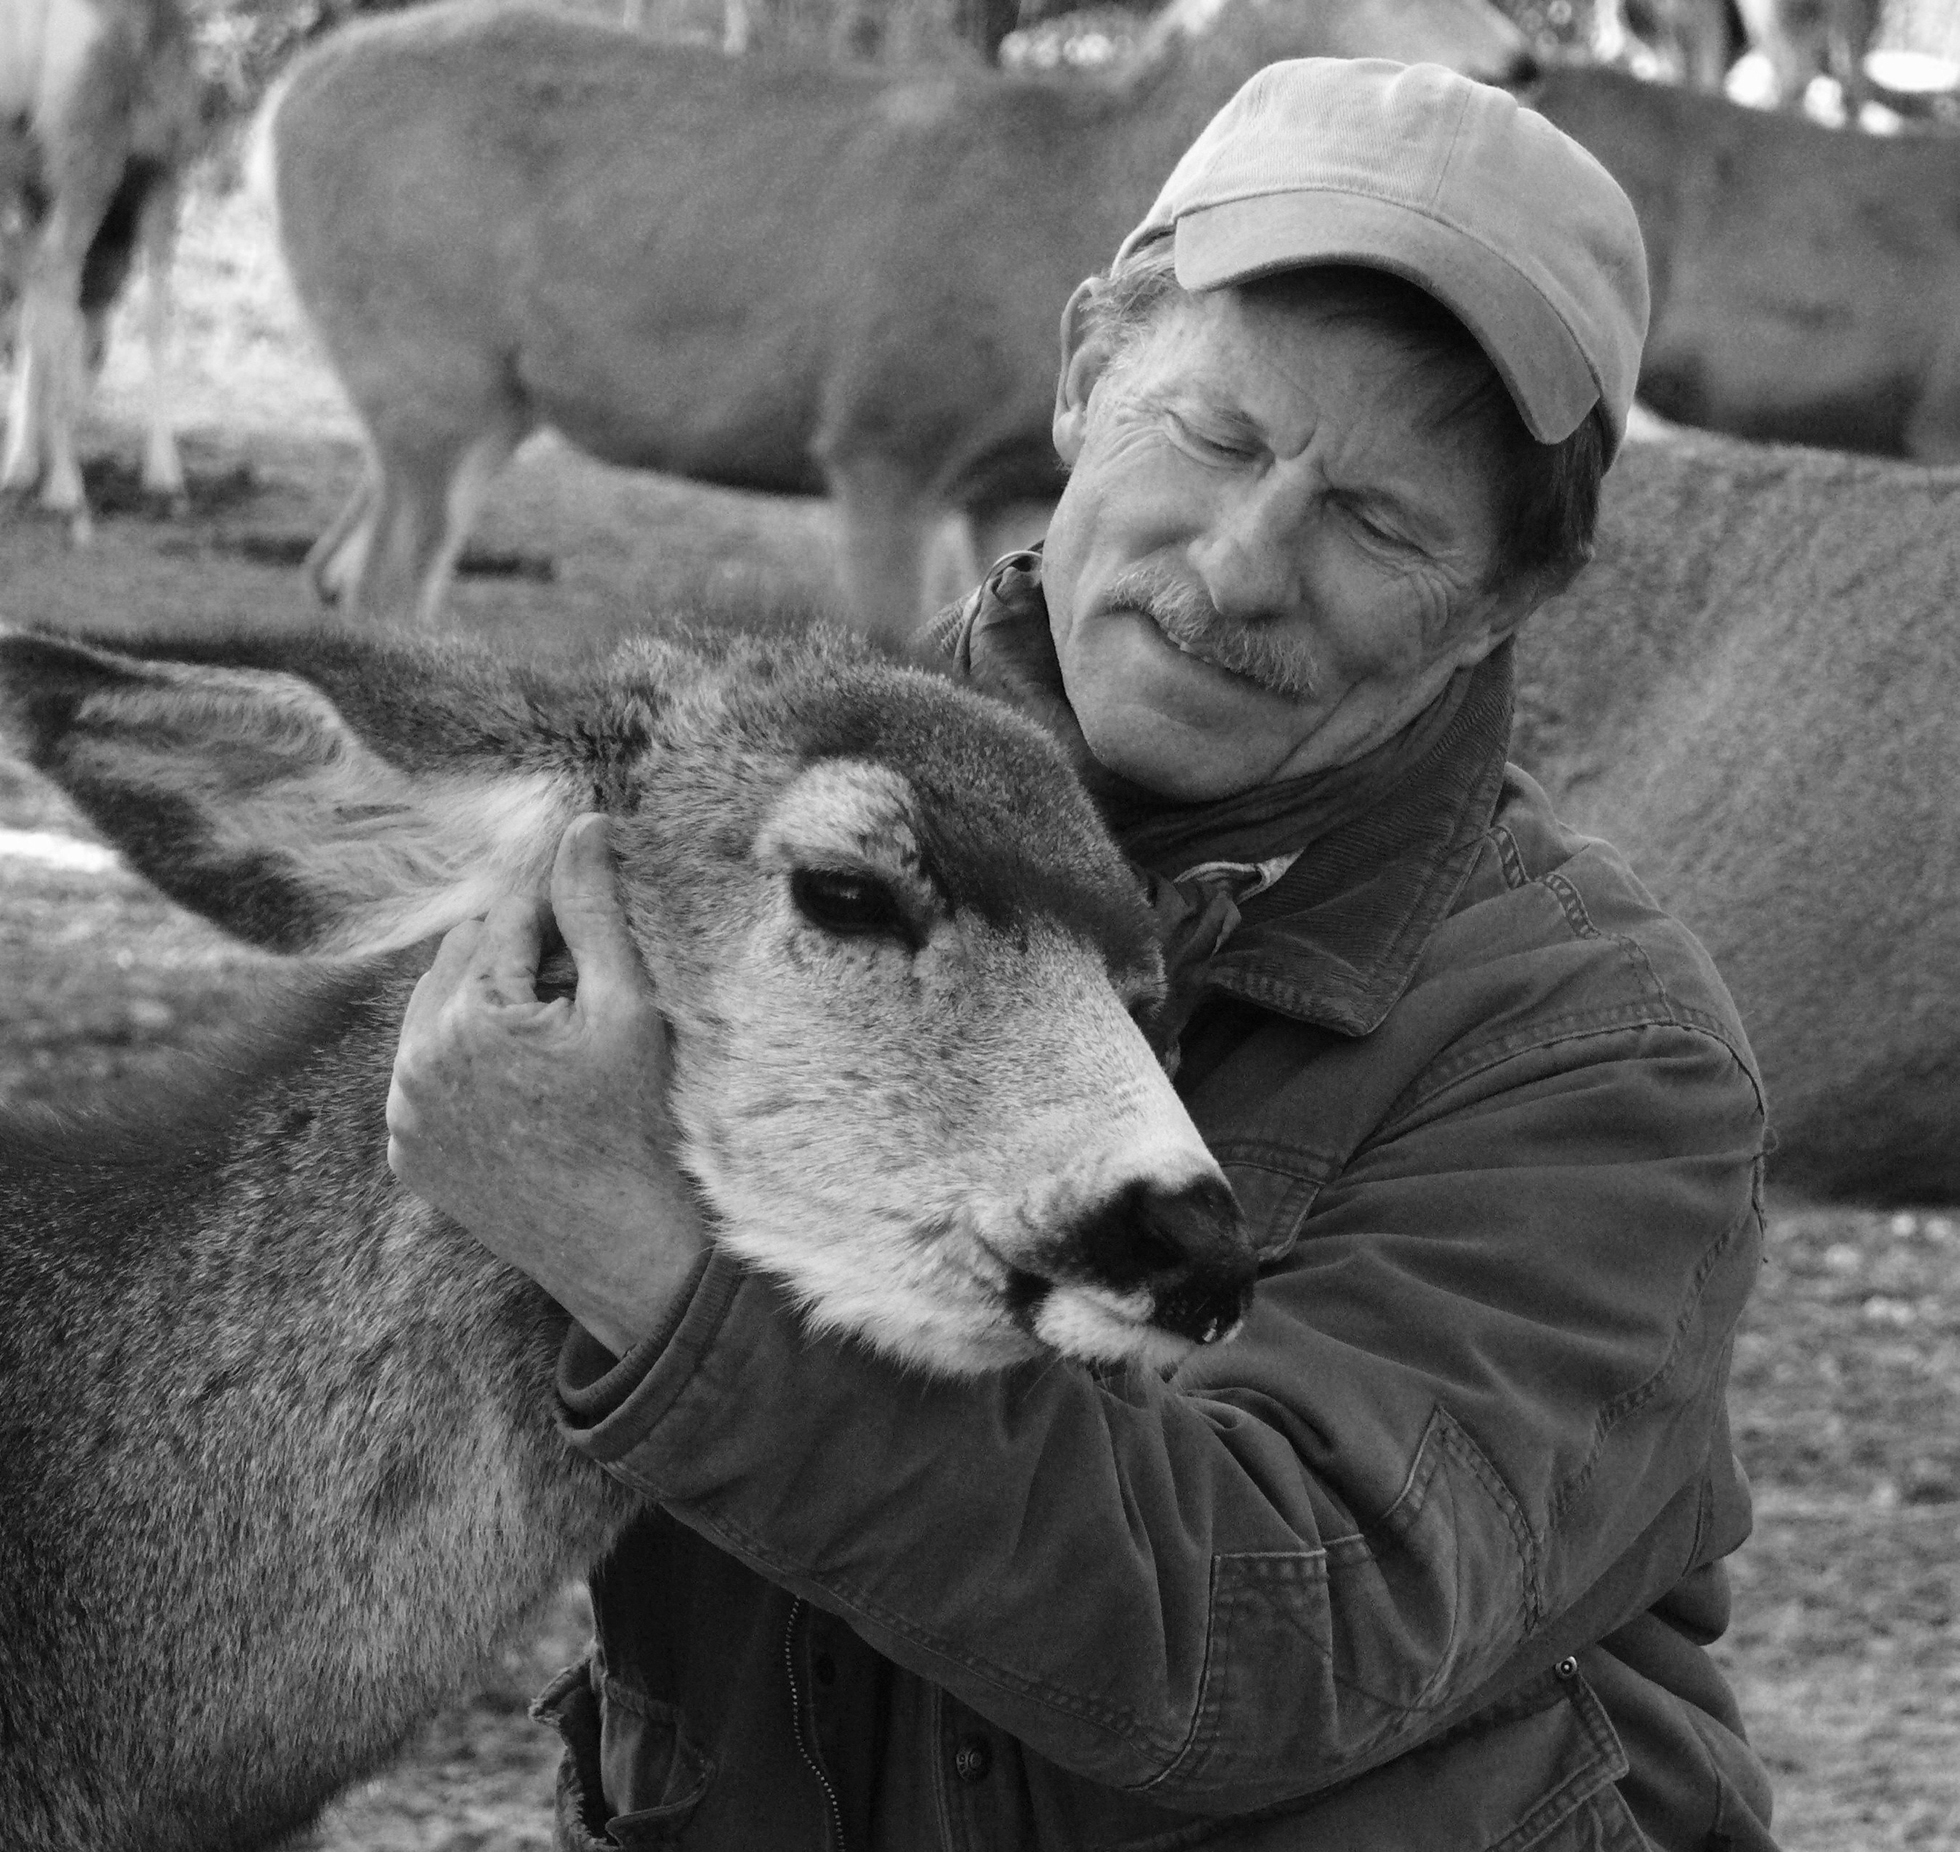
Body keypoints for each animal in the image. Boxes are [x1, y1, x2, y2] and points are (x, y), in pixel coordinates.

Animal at [0, 0, 204, 540]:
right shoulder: (161, 174)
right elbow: (156, 319)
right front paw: (165, 478)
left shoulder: (34, 194)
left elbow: (33, 322)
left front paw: (20, 468)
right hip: (88, 164)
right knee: (56, 270)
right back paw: (67, 493)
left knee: (39, 282)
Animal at [259, 0, 1534, 646]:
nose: (1522, 56)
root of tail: (276, 103)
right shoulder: (883, 428)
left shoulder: (1010, 478)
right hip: (425, 350)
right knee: (382, 586)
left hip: (466, 394)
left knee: (340, 569)